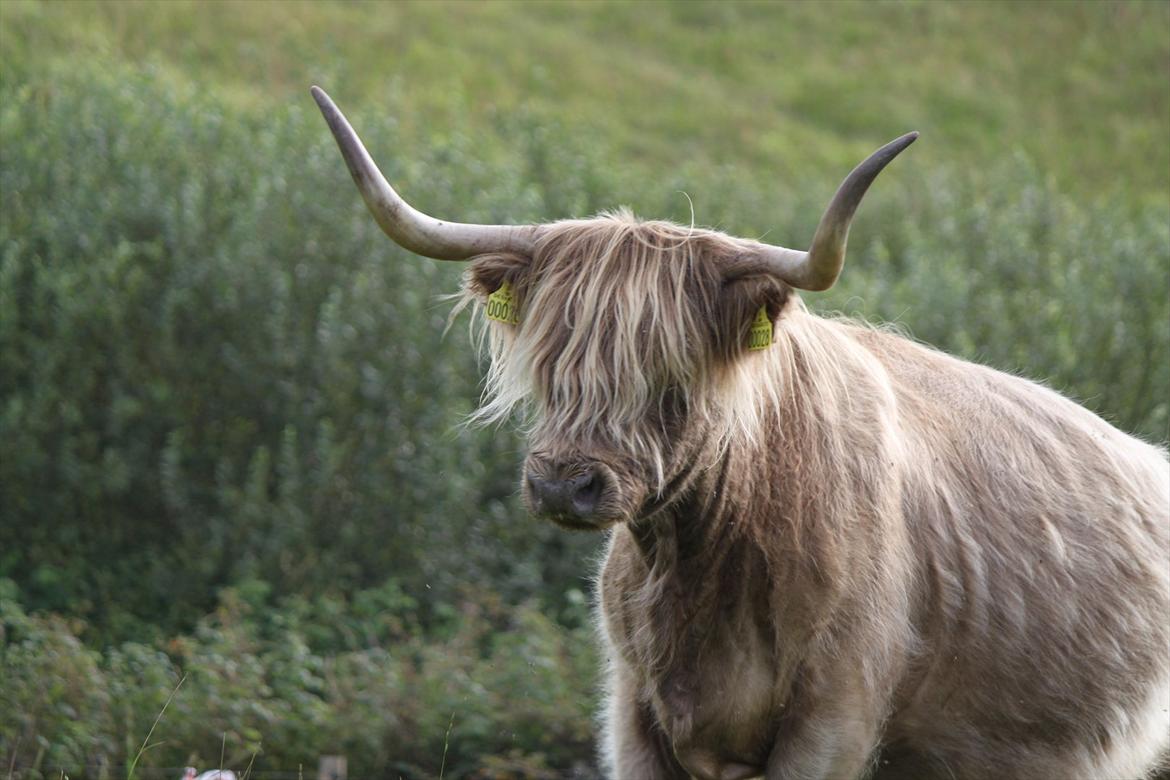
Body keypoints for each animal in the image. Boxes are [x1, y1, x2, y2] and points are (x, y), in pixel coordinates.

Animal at [310, 86, 1170, 780]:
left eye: (673, 376)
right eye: (553, 364)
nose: (563, 484)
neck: (702, 577)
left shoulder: (834, 718)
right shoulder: (633, 713)